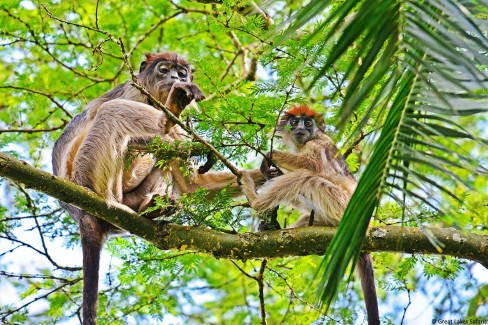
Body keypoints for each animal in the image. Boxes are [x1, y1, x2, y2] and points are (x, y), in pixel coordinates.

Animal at [240, 105, 382, 324]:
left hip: (339, 203)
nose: (300, 129)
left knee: (304, 176)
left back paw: (256, 201)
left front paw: (271, 155)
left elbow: (313, 165)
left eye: (308, 123)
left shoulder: (319, 143)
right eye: (294, 122)